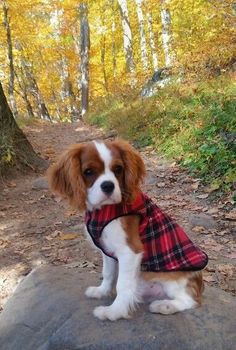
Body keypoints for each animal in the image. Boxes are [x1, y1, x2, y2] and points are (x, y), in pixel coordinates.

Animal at [47, 139, 206, 320]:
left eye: (118, 169)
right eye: (88, 172)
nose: (108, 186)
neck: (103, 211)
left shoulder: (130, 251)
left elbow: (123, 285)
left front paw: (114, 311)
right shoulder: (107, 250)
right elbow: (108, 273)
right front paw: (102, 291)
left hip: (172, 279)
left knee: (192, 300)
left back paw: (165, 306)